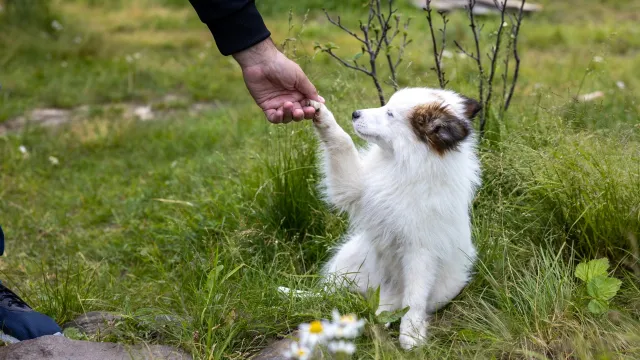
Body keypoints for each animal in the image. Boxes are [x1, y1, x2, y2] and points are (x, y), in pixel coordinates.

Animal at [308, 88, 480, 350]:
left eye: (389, 114)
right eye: (385, 105)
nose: (355, 113)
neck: (401, 164)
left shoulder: (421, 252)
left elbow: (415, 298)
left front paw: (411, 334)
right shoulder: (354, 186)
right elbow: (342, 142)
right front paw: (321, 114)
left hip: (447, 285)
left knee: (402, 298)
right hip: (350, 258)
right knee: (337, 290)